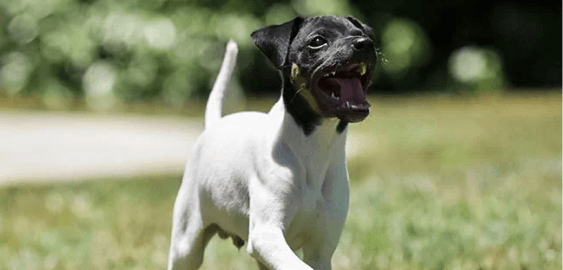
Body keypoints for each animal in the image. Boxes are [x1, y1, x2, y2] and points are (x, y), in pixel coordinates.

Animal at [167, 15, 378, 268]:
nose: (365, 44)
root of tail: (214, 124)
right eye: (318, 41)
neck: (312, 146)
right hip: (186, 244)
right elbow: (298, 265)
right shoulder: (265, 235)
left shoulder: (320, 250)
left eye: (361, 33)